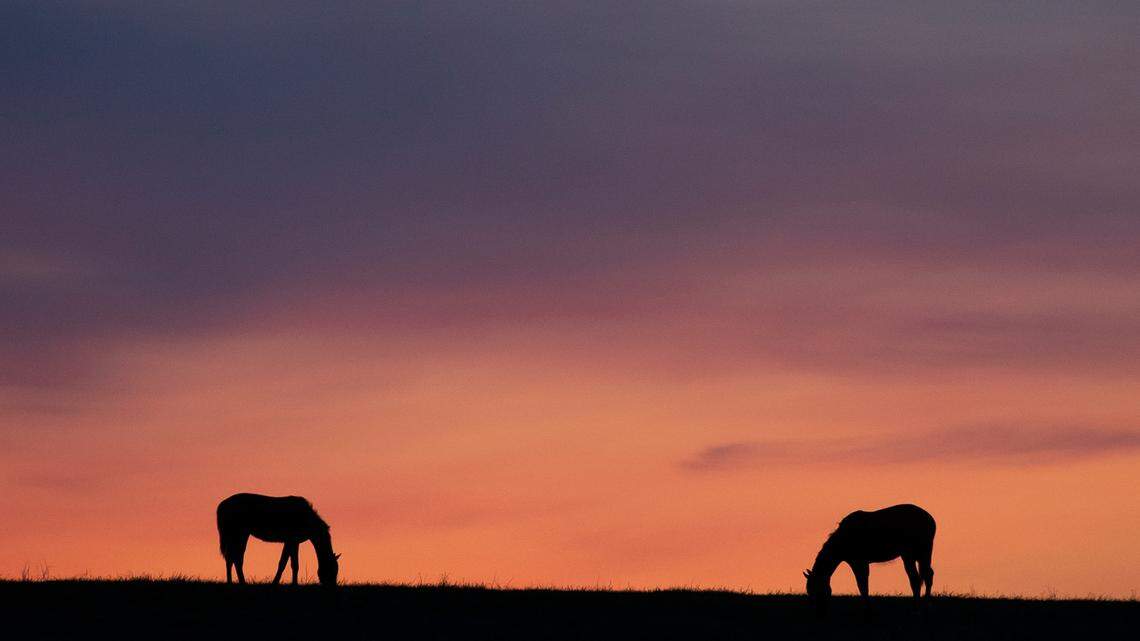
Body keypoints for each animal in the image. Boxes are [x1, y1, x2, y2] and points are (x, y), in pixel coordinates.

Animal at [804, 504, 935, 612]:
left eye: (816, 590)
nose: (819, 611)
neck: (844, 538)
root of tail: (930, 519)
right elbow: (863, 584)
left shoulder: (858, 562)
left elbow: (862, 585)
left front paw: (867, 609)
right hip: (922, 555)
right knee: (927, 575)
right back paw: (925, 604)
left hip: (909, 555)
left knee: (915, 579)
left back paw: (917, 607)